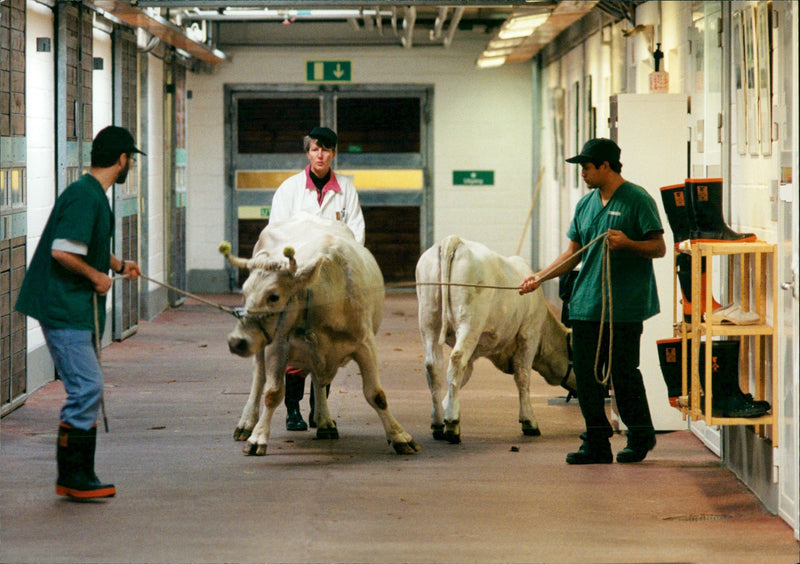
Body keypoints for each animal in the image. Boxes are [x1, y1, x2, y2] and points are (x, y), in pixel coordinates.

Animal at [219, 214, 418, 456]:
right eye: (244, 293)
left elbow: (377, 395)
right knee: (259, 378)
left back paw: (324, 421)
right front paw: (258, 438)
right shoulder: (278, 344)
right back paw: (247, 423)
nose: (236, 341)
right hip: (263, 345)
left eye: (274, 296)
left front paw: (399, 435)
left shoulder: (366, 344)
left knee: (317, 380)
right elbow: (272, 393)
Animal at [412, 236, 576, 442]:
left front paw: (446, 409)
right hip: (470, 322)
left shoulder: (474, 352)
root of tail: (455, 240)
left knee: (433, 366)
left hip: (428, 321)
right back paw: (452, 425)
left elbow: (463, 377)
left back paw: (437, 423)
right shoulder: (529, 334)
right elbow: (523, 376)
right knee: (456, 359)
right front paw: (529, 421)